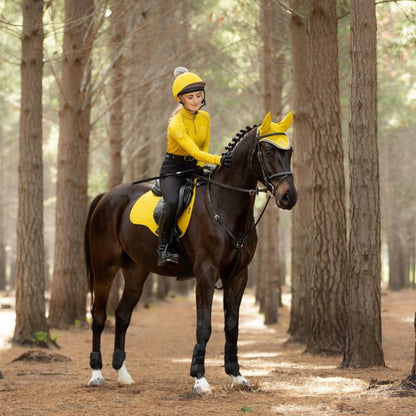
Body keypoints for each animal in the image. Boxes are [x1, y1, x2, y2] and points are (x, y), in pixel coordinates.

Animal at [86, 110, 298, 394]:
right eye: (268, 150)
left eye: (290, 151)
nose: (289, 197)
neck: (225, 206)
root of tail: (107, 196)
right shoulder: (206, 273)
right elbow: (204, 325)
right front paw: (200, 378)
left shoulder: (239, 275)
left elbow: (232, 325)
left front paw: (237, 375)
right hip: (104, 268)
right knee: (99, 316)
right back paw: (96, 374)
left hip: (136, 271)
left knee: (122, 315)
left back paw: (123, 374)